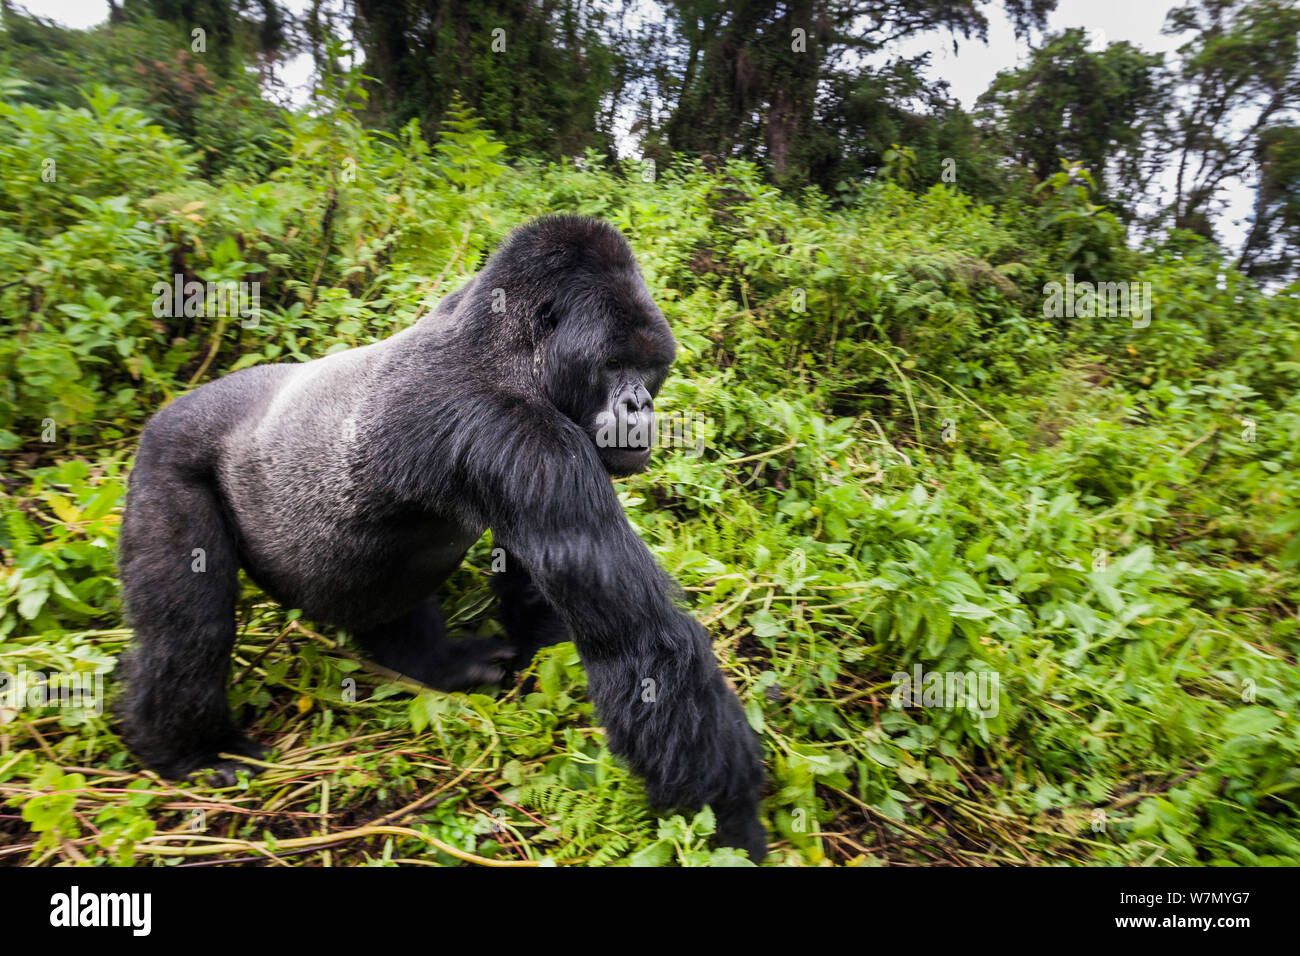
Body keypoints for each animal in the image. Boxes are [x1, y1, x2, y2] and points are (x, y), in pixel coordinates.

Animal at [116, 214, 764, 858]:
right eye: (612, 365)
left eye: (650, 367)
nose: (640, 407)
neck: (504, 348)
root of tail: (174, 405)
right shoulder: (522, 431)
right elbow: (643, 643)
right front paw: (733, 820)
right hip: (170, 455)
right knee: (191, 628)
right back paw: (189, 748)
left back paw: (437, 664)